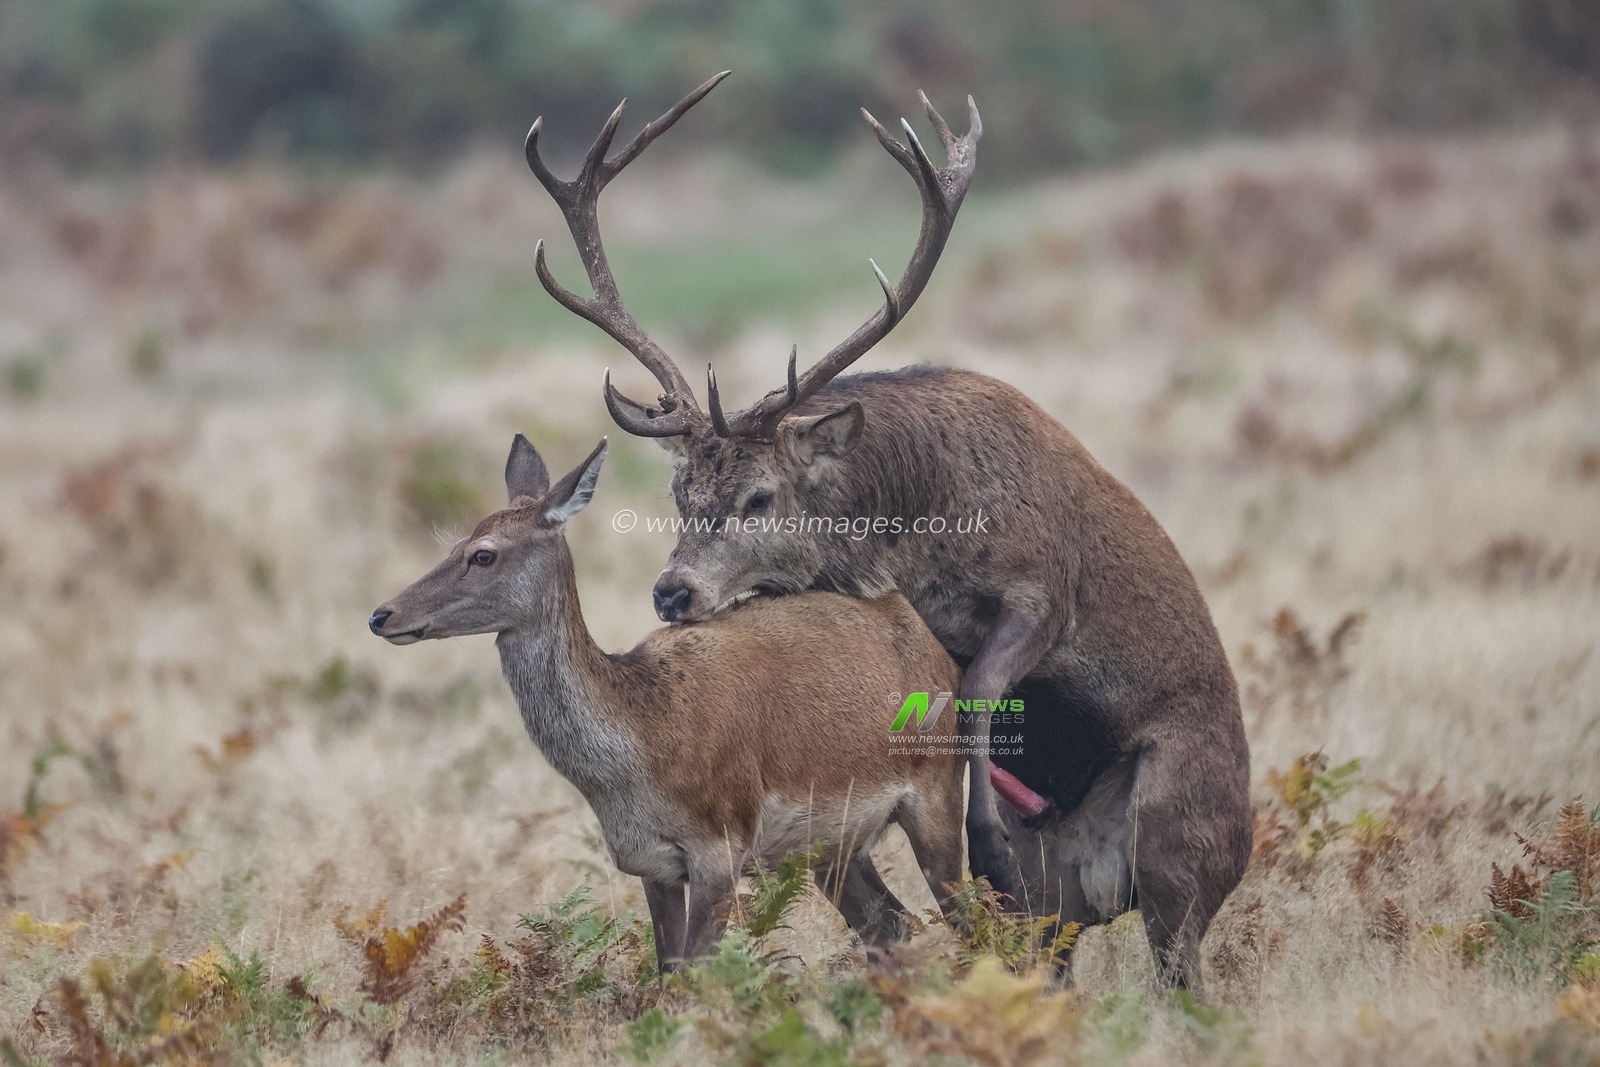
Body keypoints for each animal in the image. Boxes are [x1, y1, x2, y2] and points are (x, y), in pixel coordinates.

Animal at [368, 434, 967, 973]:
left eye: (483, 554)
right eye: (453, 544)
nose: (382, 615)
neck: (642, 746)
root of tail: (930, 640)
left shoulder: (721, 846)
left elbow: (695, 979)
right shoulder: (650, 865)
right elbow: (668, 974)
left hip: (937, 790)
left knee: (971, 916)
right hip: (832, 847)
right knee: (892, 926)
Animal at [520, 72, 1253, 988]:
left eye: (760, 496)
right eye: (681, 491)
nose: (672, 591)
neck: (907, 534)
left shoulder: (1044, 586)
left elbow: (976, 691)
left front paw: (987, 842)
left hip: (1181, 838)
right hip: (1070, 910)